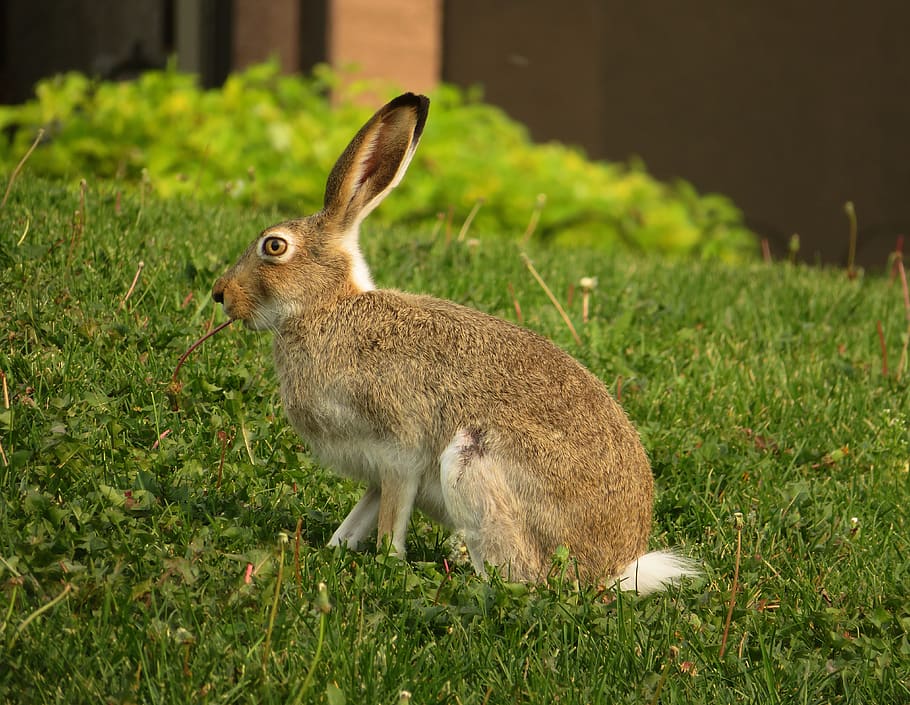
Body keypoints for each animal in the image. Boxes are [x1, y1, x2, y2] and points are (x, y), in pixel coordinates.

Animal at [212, 93, 695, 594]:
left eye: (274, 246)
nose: (220, 293)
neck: (325, 307)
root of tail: (612, 570)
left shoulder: (398, 448)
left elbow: (391, 516)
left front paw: (388, 560)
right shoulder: (374, 471)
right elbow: (363, 510)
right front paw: (335, 547)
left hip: (472, 463)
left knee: (522, 576)